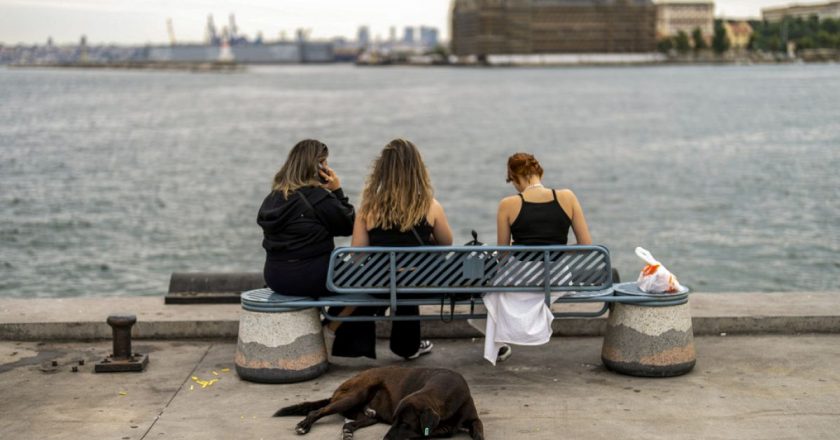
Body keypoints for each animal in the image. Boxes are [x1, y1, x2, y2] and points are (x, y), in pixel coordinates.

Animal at [276, 364, 486, 440]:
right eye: (395, 421)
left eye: (405, 423)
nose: (385, 439)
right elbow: (431, 433)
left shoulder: (474, 419)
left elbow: (478, 429)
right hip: (354, 395)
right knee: (317, 411)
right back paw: (304, 425)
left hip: (369, 415)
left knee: (355, 421)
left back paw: (350, 429)